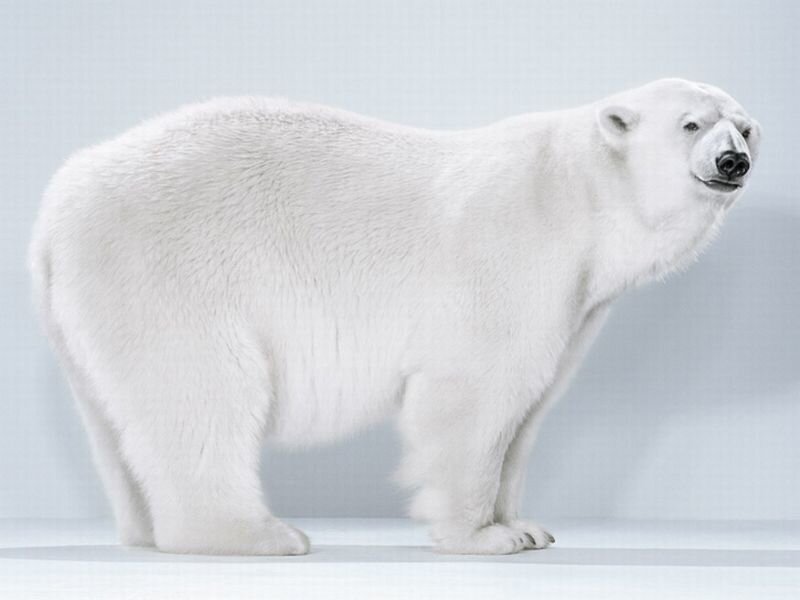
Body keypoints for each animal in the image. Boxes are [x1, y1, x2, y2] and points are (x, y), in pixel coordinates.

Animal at [29, 78, 761, 555]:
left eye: (746, 125)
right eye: (691, 124)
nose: (734, 161)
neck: (582, 196)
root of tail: (53, 213)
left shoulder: (580, 304)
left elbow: (532, 407)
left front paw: (527, 526)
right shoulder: (515, 252)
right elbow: (477, 393)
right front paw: (482, 536)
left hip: (84, 311)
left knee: (119, 420)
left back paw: (147, 531)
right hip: (170, 271)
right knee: (204, 393)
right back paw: (255, 534)